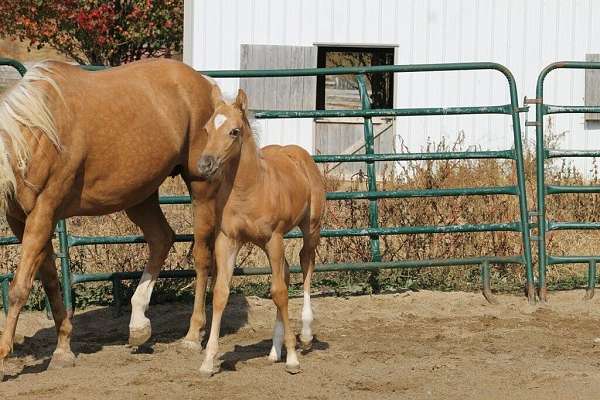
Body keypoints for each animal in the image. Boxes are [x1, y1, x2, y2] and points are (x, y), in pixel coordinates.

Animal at [197, 86, 326, 376]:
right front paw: (208, 361)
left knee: (306, 265)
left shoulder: (273, 238)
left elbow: (279, 293)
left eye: (234, 131)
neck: (249, 189)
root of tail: (299, 154)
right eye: (207, 129)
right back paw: (274, 350)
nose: (205, 164)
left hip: (310, 229)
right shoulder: (228, 240)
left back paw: (306, 335)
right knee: (286, 272)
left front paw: (293, 359)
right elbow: (220, 293)